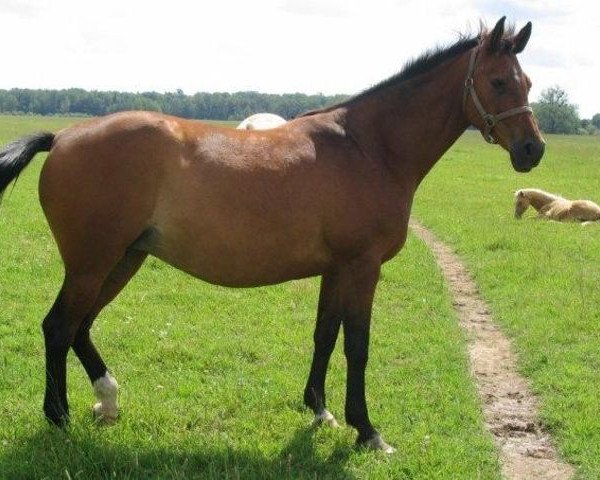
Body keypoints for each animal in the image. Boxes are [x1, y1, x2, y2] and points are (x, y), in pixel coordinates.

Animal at [0, 17, 544, 454]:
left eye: (528, 82)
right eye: (498, 81)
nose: (532, 150)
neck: (369, 147)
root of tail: (62, 136)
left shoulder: (336, 269)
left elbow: (325, 335)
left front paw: (320, 409)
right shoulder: (362, 267)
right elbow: (357, 345)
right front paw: (367, 431)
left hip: (121, 259)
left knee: (80, 327)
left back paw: (106, 400)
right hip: (93, 262)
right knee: (59, 326)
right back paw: (60, 416)